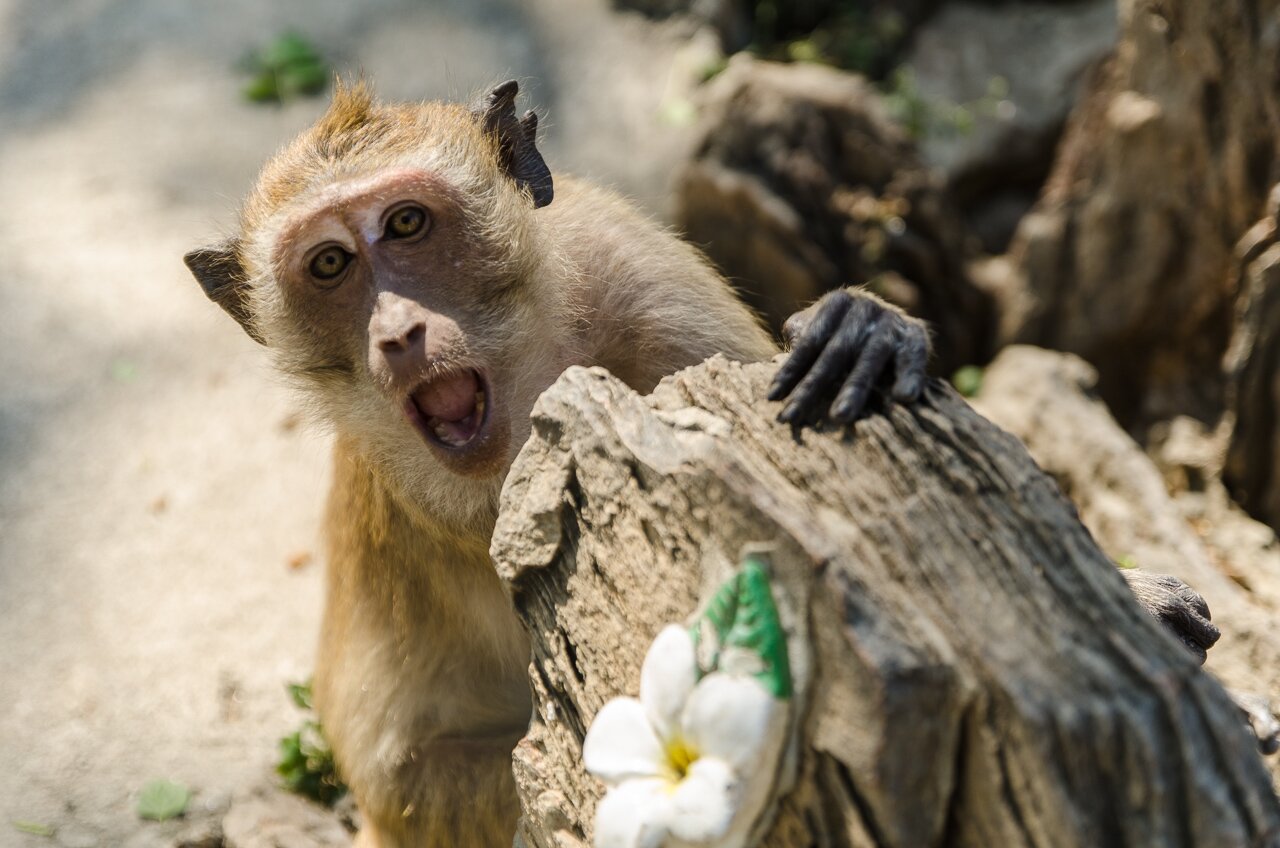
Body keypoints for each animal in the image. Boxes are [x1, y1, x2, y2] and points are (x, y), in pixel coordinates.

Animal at [184, 80, 1226, 846]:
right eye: (329, 268)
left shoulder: (641, 275)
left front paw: (867, 329)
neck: (540, 366)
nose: (397, 333)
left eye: (406, 226)